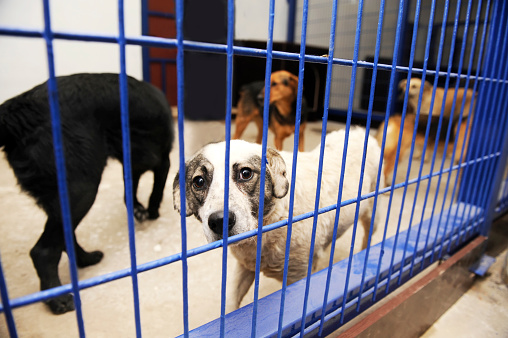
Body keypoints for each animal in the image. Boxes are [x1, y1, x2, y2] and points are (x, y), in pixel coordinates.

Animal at [0, 73, 175, 314]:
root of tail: (19, 112)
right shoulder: (163, 160)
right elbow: (155, 192)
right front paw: (151, 212)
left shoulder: (132, 165)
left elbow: (130, 194)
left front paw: (139, 210)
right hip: (83, 189)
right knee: (43, 251)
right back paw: (57, 299)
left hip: (65, 196)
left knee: (64, 237)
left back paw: (86, 259)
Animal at [174, 127, 380, 308]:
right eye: (199, 182)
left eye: (245, 173)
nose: (219, 221)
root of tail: (360, 131)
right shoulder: (245, 267)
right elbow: (230, 304)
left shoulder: (298, 276)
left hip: (371, 213)